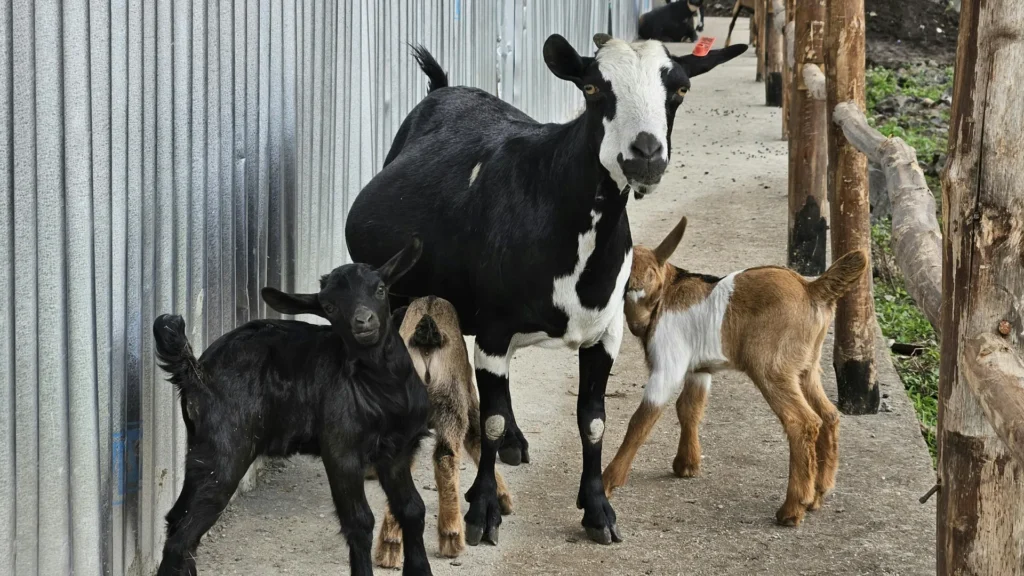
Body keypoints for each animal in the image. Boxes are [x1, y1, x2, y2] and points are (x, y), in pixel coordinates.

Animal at [152, 239, 434, 576]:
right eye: (329, 307)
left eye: (380, 289)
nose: (363, 322)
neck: (381, 387)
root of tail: (196, 373)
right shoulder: (341, 450)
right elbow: (359, 523)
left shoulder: (397, 451)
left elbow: (413, 509)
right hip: (225, 450)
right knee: (182, 537)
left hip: (201, 450)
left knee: (177, 521)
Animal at [369, 296, 514, 567]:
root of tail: (425, 338)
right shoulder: (468, 396)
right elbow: (478, 439)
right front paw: (502, 496)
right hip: (451, 402)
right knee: (446, 456)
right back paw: (452, 536)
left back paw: (389, 545)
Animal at [601, 216, 867, 527]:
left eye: (646, 274)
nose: (632, 290)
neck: (667, 293)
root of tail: (811, 290)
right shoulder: (698, 370)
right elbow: (688, 409)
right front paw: (687, 464)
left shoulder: (668, 366)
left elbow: (641, 420)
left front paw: (607, 482)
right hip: (806, 368)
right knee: (828, 415)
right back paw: (819, 493)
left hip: (771, 368)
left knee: (802, 422)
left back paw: (792, 508)